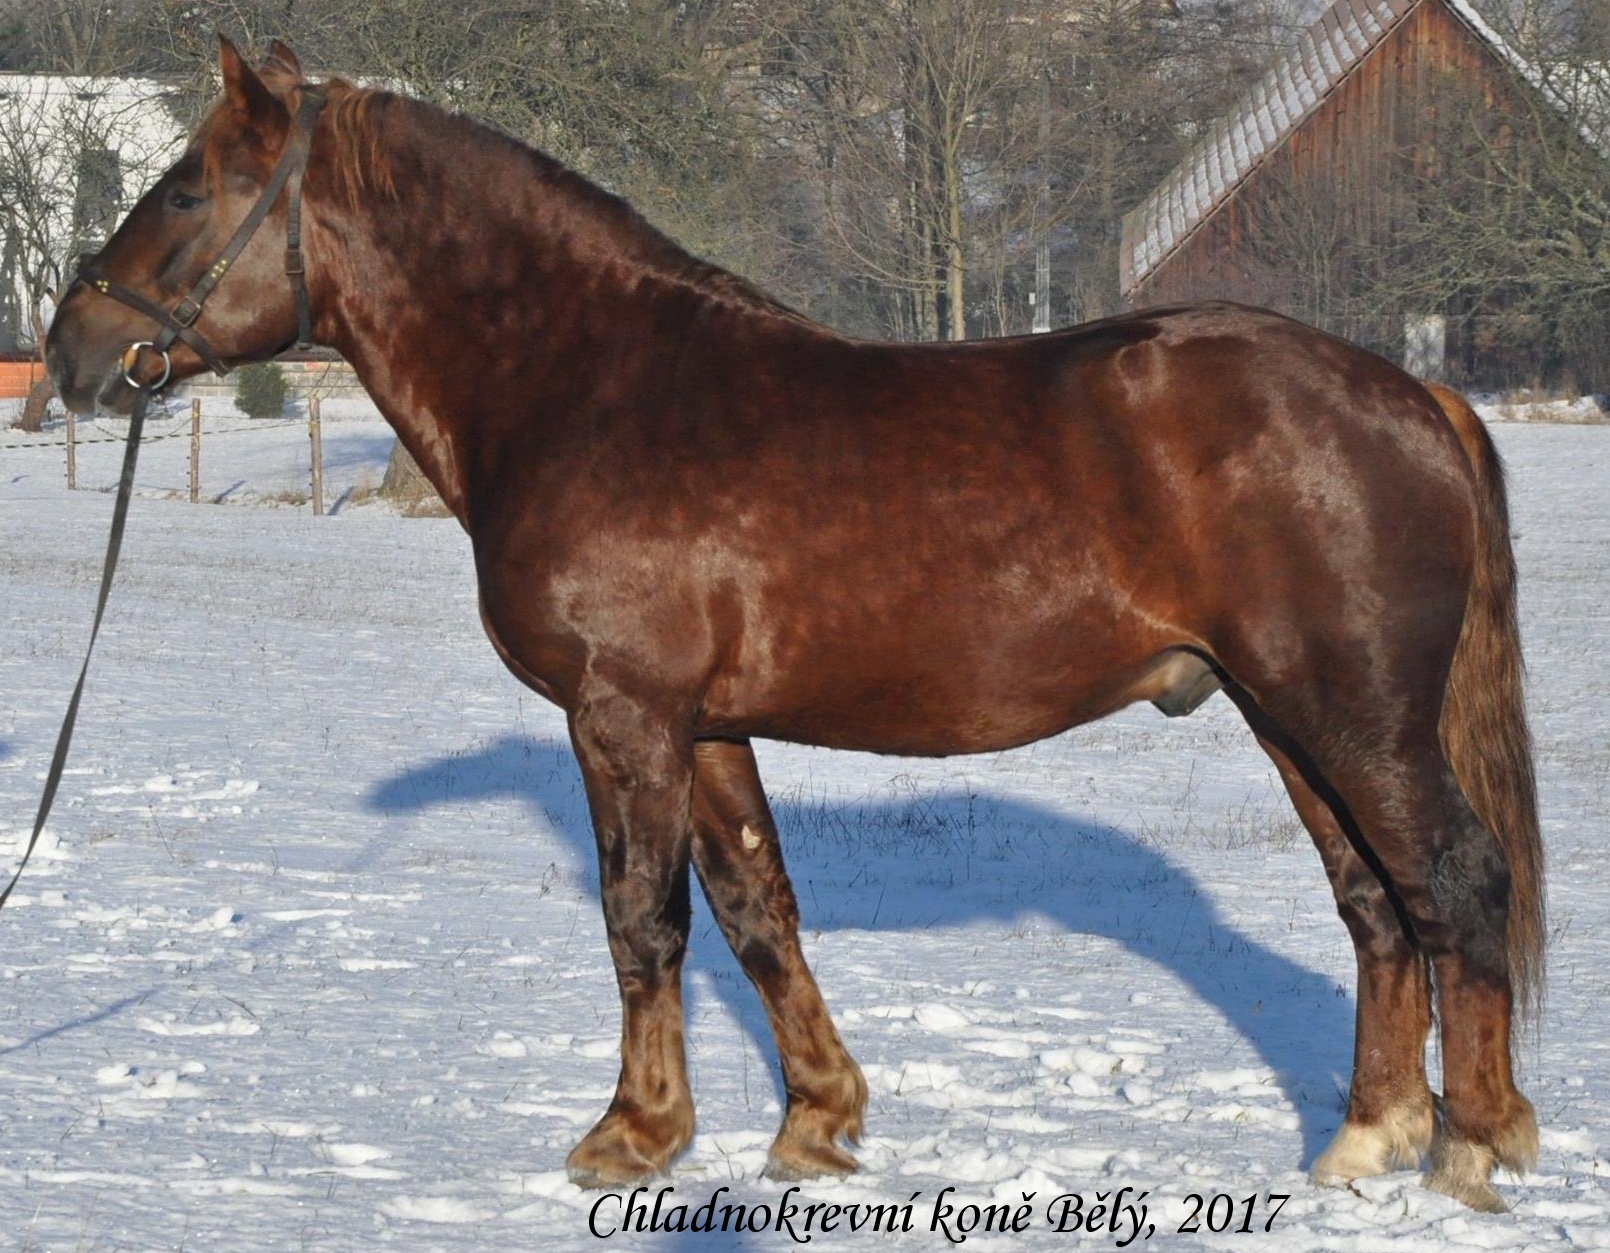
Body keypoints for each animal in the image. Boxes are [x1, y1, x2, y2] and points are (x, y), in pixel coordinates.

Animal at [44, 41, 1539, 1211]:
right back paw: (1362, 1142)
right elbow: (756, 909)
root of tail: (1409, 394)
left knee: (1453, 882)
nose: (66, 352)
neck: (587, 382)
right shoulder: (704, 729)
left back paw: (1468, 1149)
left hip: (1350, 713)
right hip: (1285, 711)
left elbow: (642, 918)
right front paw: (815, 1121)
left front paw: (629, 1136)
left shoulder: (624, 714)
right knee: (1376, 903)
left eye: (184, 190)